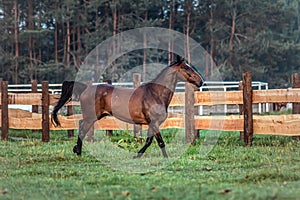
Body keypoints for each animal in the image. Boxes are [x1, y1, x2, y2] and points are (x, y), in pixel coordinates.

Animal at [51, 55, 204, 159]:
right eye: (186, 67)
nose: (200, 81)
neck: (155, 94)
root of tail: (86, 88)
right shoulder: (154, 122)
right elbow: (160, 142)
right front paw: (165, 158)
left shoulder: (151, 123)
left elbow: (149, 141)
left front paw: (137, 155)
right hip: (91, 117)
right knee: (82, 128)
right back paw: (78, 151)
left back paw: (77, 150)